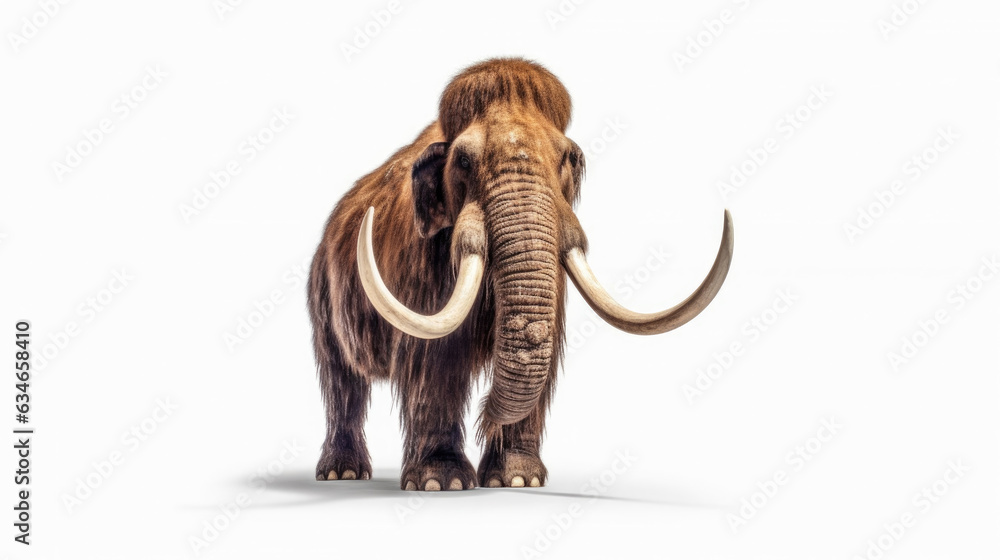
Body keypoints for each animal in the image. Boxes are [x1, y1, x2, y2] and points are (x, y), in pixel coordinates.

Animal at [308, 57, 733, 491]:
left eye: (567, 158)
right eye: (463, 161)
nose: (484, 418)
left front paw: (515, 480)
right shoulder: (423, 265)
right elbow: (435, 355)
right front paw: (442, 482)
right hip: (321, 294)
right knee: (341, 379)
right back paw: (341, 473)